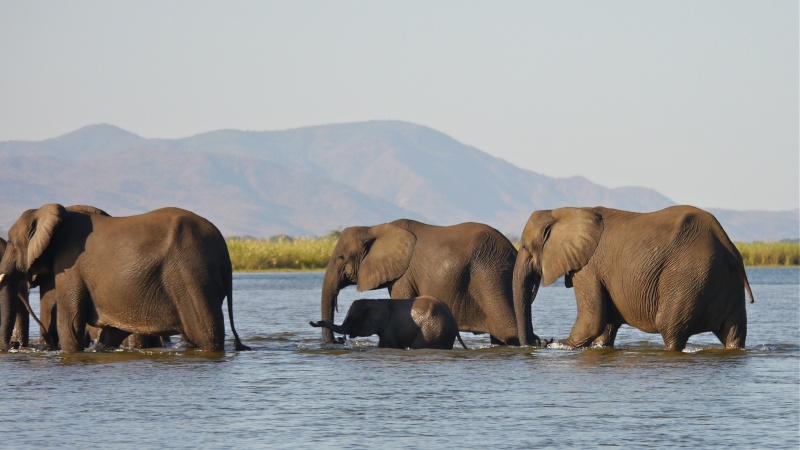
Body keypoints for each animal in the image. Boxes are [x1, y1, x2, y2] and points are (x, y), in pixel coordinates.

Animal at [0, 202, 248, 354]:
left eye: (10, 242)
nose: (13, 345)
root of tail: (223, 248)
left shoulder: (69, 265)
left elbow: (70, 324)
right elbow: (109, 333)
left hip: (192, 274)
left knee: (206, 332)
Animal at [318, 218, 536, 344]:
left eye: (341, 258)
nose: (338, 341)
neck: (374, 228)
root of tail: (514, 250)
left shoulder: (404, 275)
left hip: (490, 276)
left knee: (508, 330)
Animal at [512, 205, 756, 352]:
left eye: (525, 247)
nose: (538, 340)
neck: (562, 212)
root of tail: (725, 241)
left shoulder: (588, 267)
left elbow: (592, 319)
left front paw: (558, 344)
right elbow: (605, 325)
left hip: (688, 277)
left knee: (670, 329)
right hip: (726, 281)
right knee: (734, 333)